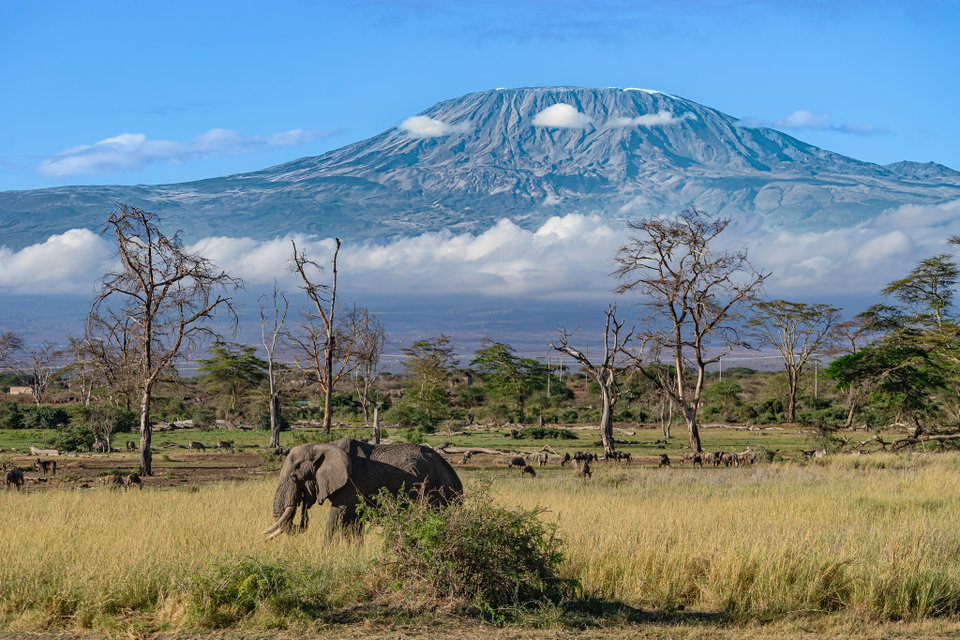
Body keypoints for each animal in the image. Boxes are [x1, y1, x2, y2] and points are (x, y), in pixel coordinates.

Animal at [263, 437, 463, 541]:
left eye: (294, 477)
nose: (303, 503)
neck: (324, 445)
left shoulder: (352, 481)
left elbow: (337, 516)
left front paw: (325, 551)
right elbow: (353, 523)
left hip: (437, 491)